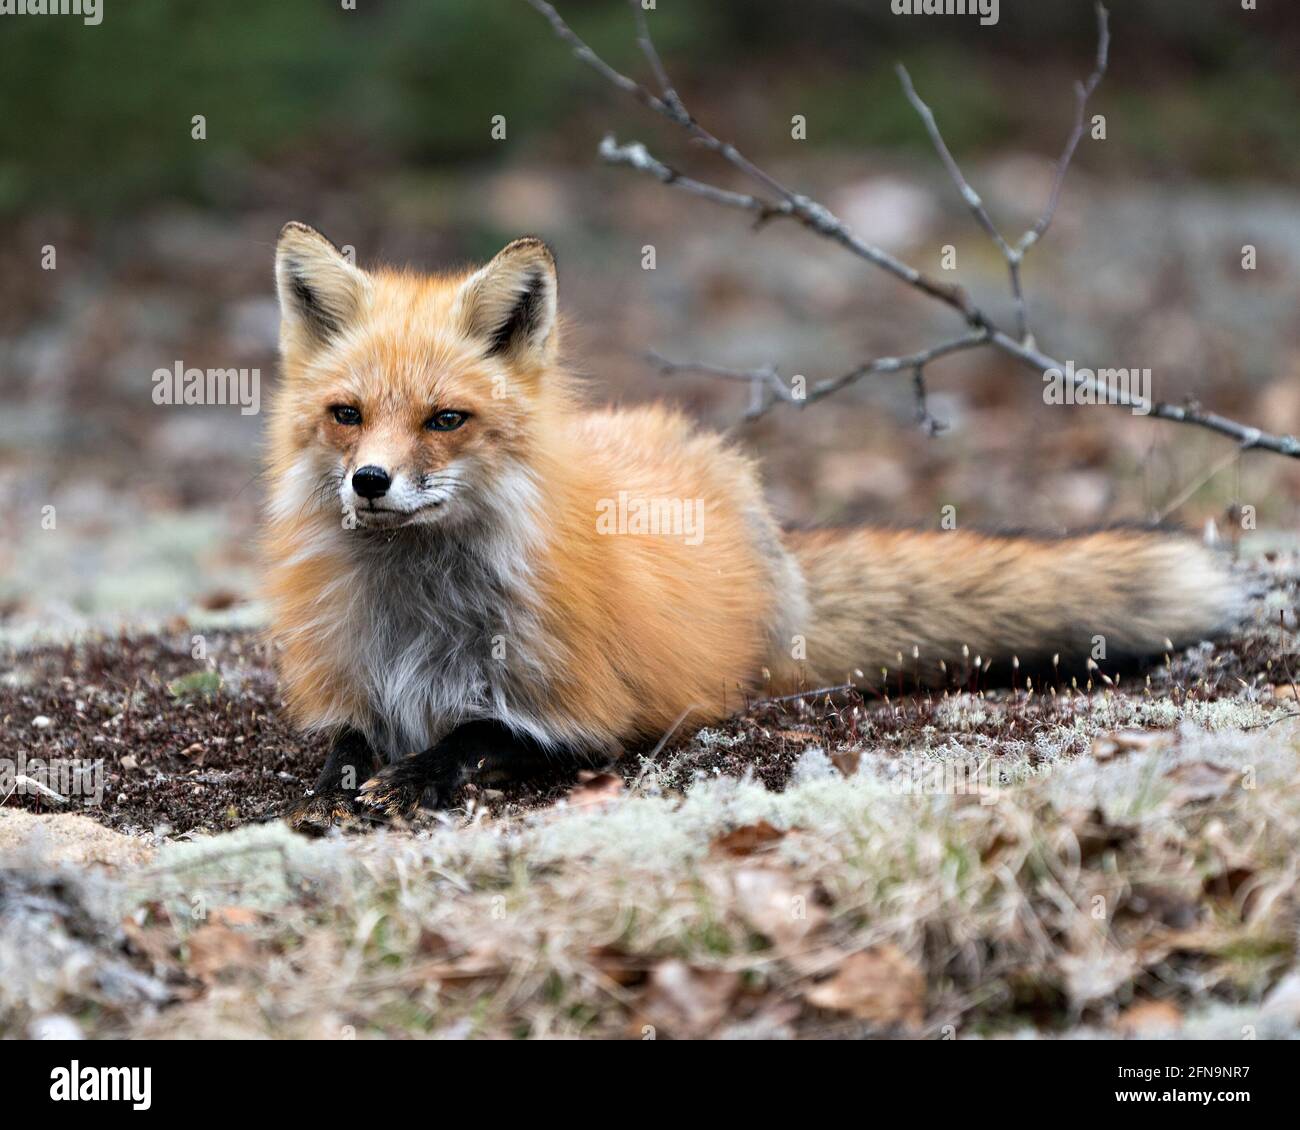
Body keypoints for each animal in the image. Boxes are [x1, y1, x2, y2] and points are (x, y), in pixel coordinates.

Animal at [264, 222, 1240, 832]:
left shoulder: (584, 719)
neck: (418, 619)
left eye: (445, 420)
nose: (370, 482)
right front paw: (337, 785)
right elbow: (346, 744)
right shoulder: (357, 689)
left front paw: (413, 778)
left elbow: (477, 738)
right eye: (348, 415)